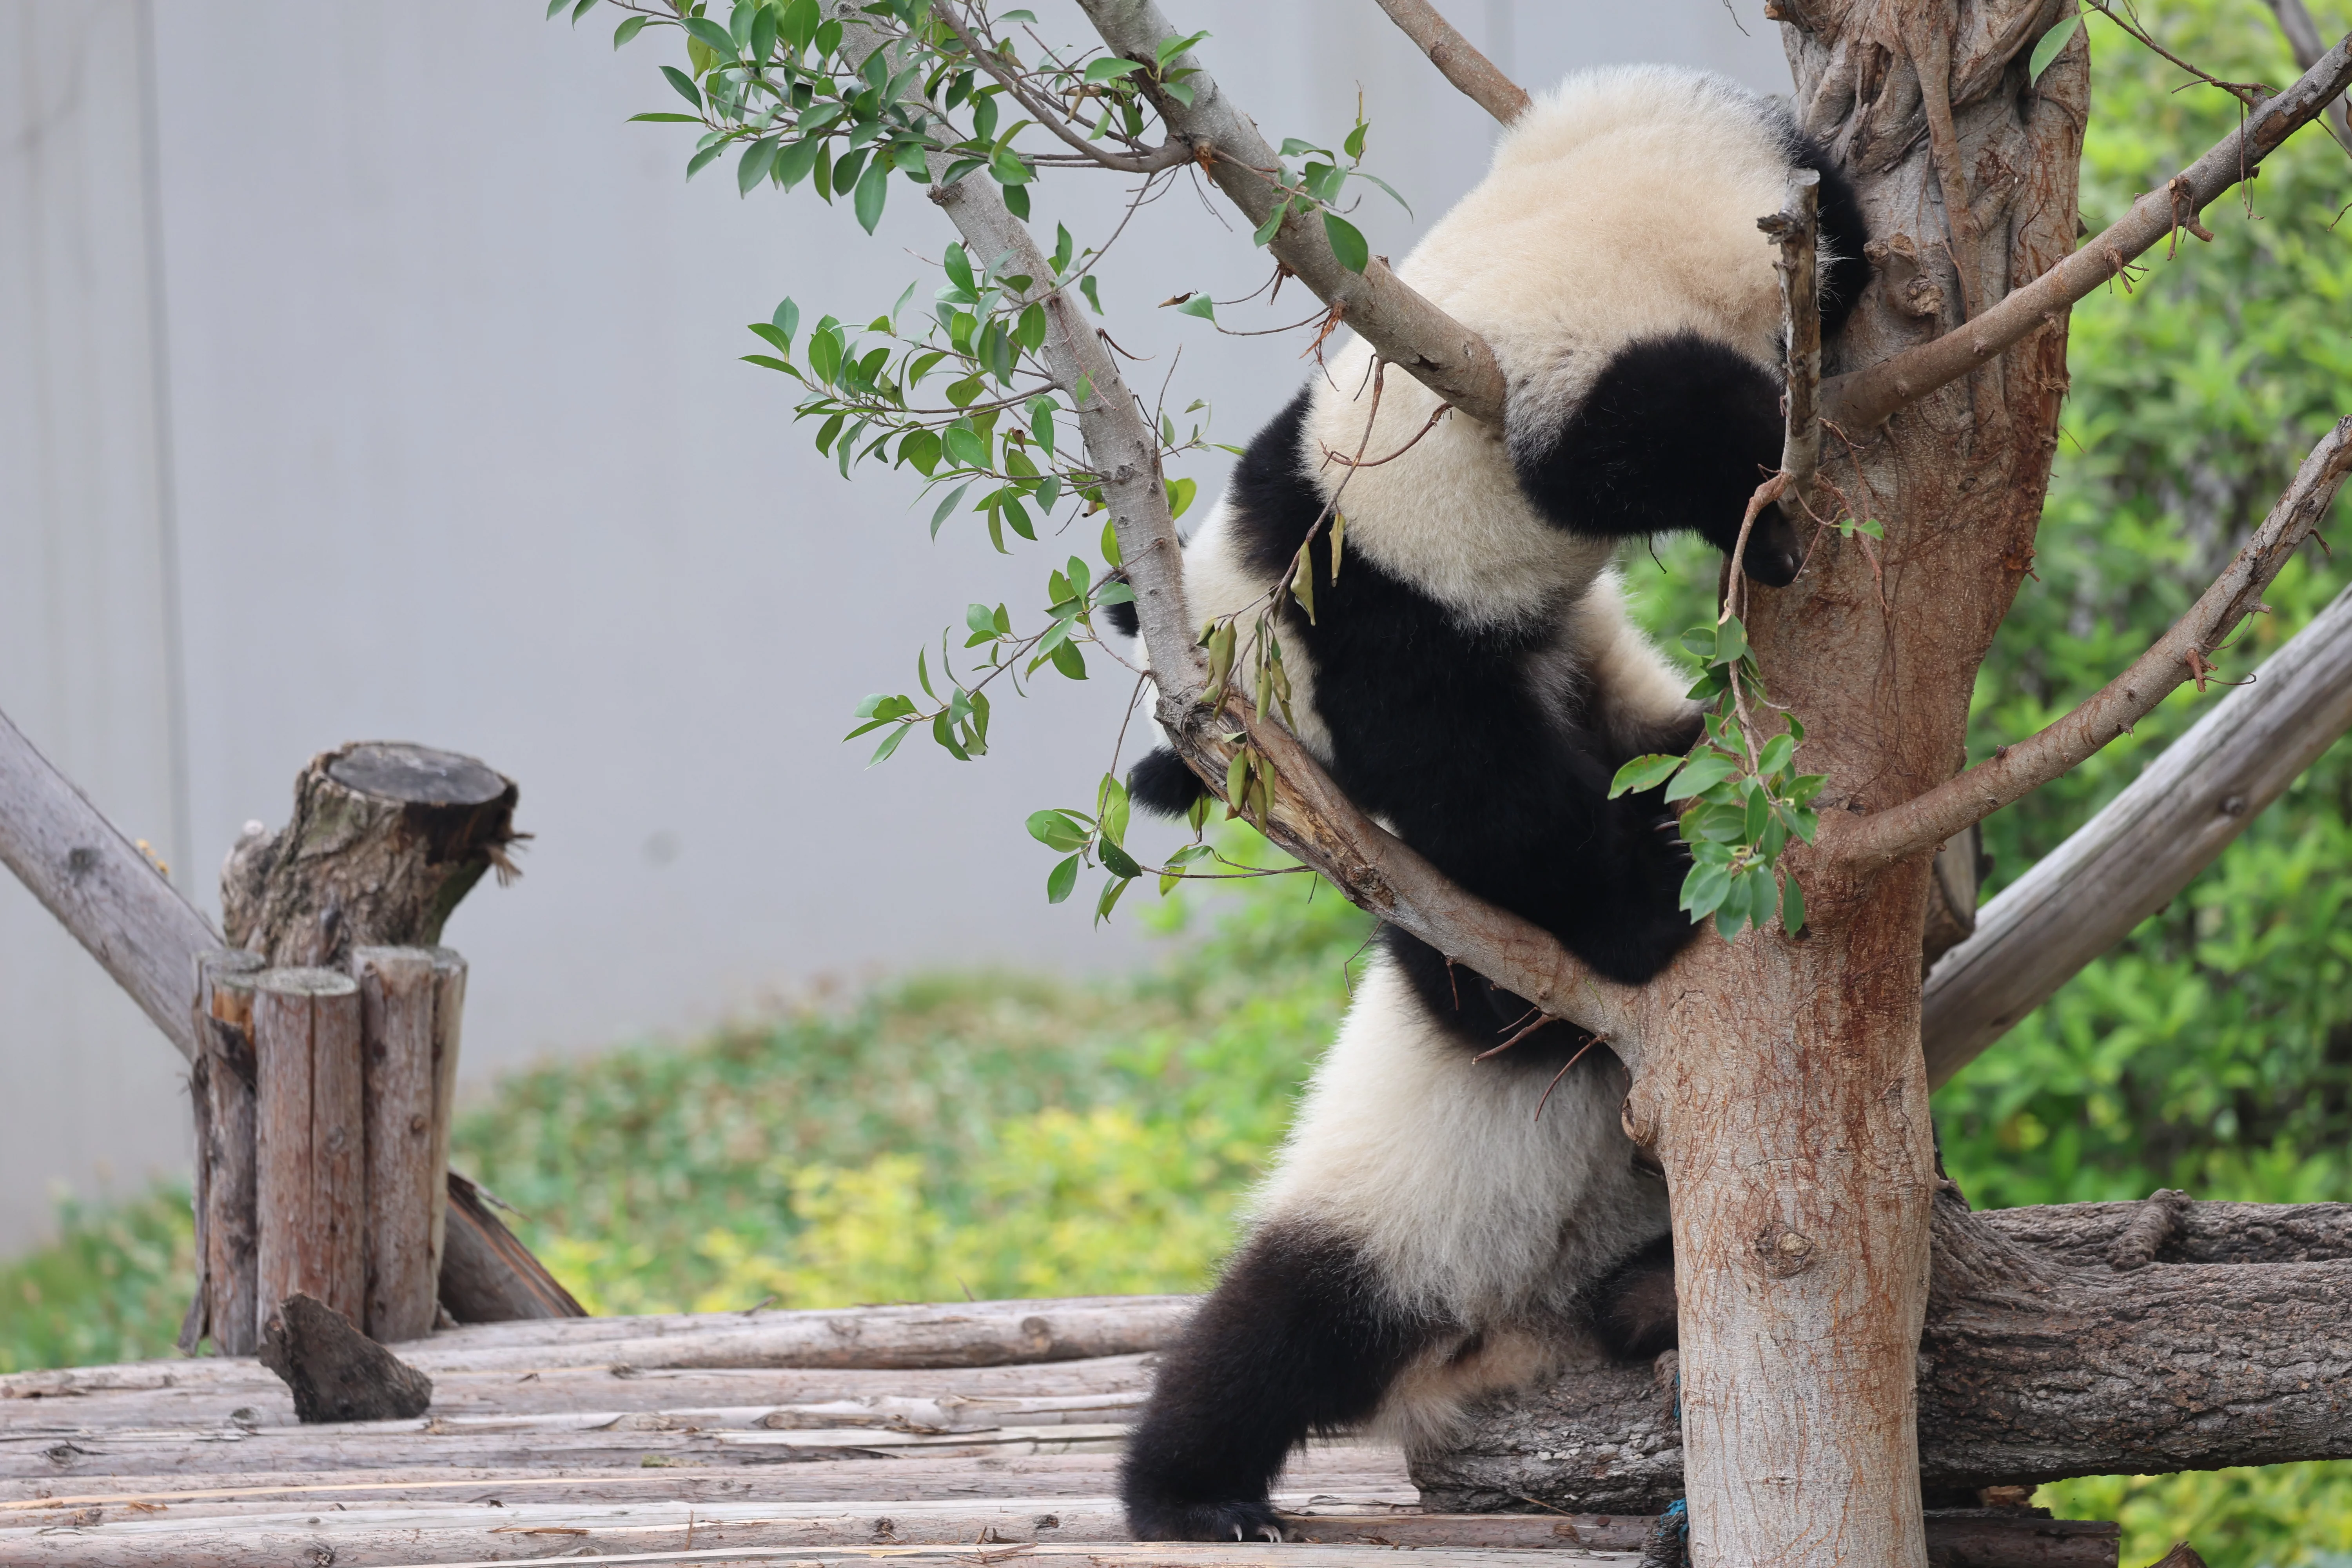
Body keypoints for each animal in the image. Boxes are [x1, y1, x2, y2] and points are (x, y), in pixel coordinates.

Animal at [1099, 66, 1870, 1542]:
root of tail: (1496, 1339)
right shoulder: (1403, 627)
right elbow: (1493, 910)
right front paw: (1644, 889)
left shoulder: (1379, 613)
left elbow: (1490, 802)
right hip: (1387, 1229)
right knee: (1273, 1338)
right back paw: (1197, 1492)